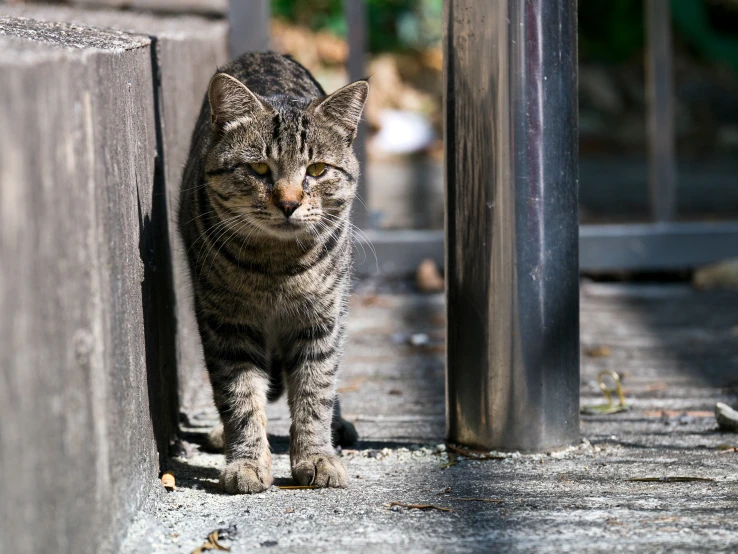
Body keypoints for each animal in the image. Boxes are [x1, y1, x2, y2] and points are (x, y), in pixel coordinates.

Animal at [175, 52, 366, 492]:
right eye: (260, 169)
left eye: (317, 169)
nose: (290, 202)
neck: (276, 269)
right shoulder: (226, 322)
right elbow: (240, 395)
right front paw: (245, 462)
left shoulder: (322, 318)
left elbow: (315, 390)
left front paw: (317, 456)